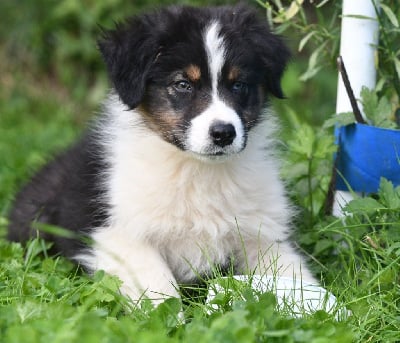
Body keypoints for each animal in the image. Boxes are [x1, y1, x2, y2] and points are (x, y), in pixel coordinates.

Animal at [7, 4, 316, 306]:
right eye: (183, 84)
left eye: (239, 84)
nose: (223, 133)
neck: (195, 169)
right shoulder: (117, 233)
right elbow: (159, 287)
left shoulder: (261, 233)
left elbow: (297, 278)